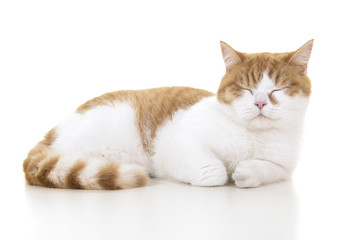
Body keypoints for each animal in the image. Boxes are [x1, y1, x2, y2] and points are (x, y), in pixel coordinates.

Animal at [23, 39, 314, 189]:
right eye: (245, 88)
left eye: (278, 88)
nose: (260, 103)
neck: (254, 137)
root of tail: (51, 132)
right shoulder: (175, 142)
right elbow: (214, 171)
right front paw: (224, 172)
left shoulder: (285, 167)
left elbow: (269, 170)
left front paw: (247, 171)